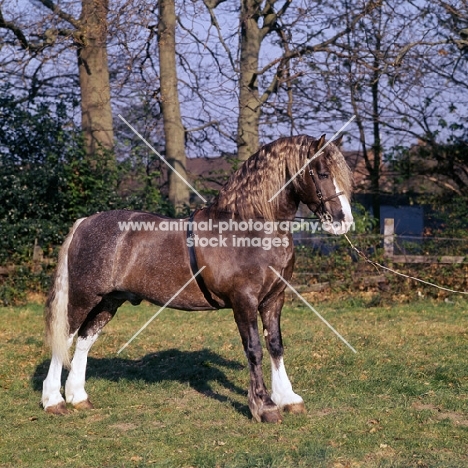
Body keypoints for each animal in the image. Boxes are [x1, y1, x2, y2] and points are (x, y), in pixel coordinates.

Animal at [42, 133, 352, 424]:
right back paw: (53, 401)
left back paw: (78, 397)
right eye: (322, 173)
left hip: (109, 301)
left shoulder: (274, 298)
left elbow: (275, 345)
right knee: (65, 338)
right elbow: (254, 349)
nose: (343, 221)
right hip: (83, 297)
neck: (249, 229)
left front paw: (288, 398)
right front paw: (264, 406)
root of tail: (84, 222)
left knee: (84, 340)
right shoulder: (244, 301)